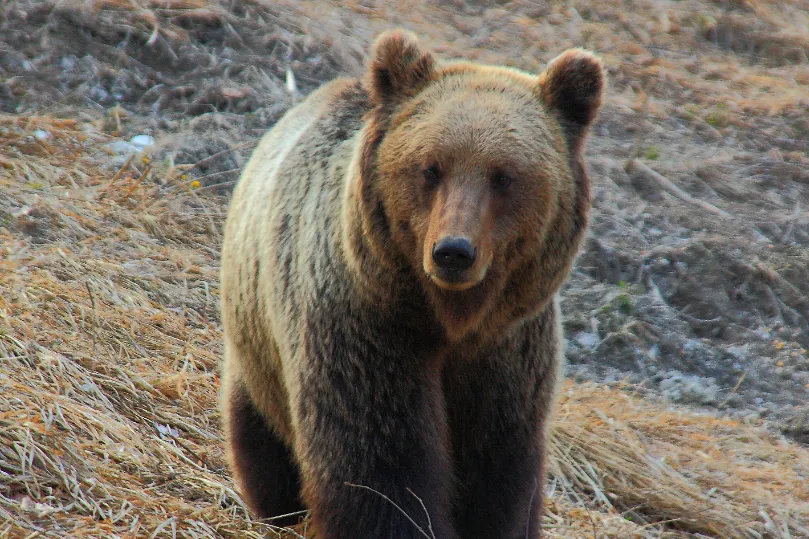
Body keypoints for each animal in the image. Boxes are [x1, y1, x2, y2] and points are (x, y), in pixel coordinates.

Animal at [218, 29, 604, 539]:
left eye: (504, 176)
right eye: (430, 167)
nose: (454, 251)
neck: (449, 318)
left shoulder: (507, 353)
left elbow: (497, 467)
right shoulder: (367, 325)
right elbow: (381, 456)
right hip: (257, 340)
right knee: (261, 435)